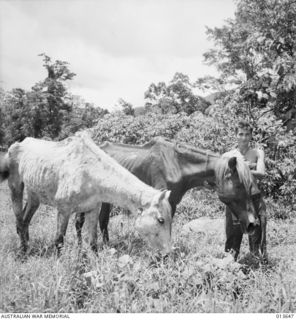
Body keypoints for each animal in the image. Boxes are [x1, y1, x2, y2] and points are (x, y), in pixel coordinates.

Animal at [0, 132, 172, 255]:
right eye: (161, 220)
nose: (167, 254)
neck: (89, 171)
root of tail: (18, 144)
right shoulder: (64, 209)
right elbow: (59, 241)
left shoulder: (92, 209)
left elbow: (93, 243)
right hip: (16, 187)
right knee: (19, 221)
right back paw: (22, 252)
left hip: (34, 195)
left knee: (25, 220)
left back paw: (27, 246)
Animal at [76, 137, 266, 258]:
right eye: (240, 186)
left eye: (252, 186)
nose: (253, 224)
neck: (177, 164)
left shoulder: (172, 203)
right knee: (79, 221)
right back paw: (80, 250)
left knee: (102, 220)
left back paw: (107, 247)